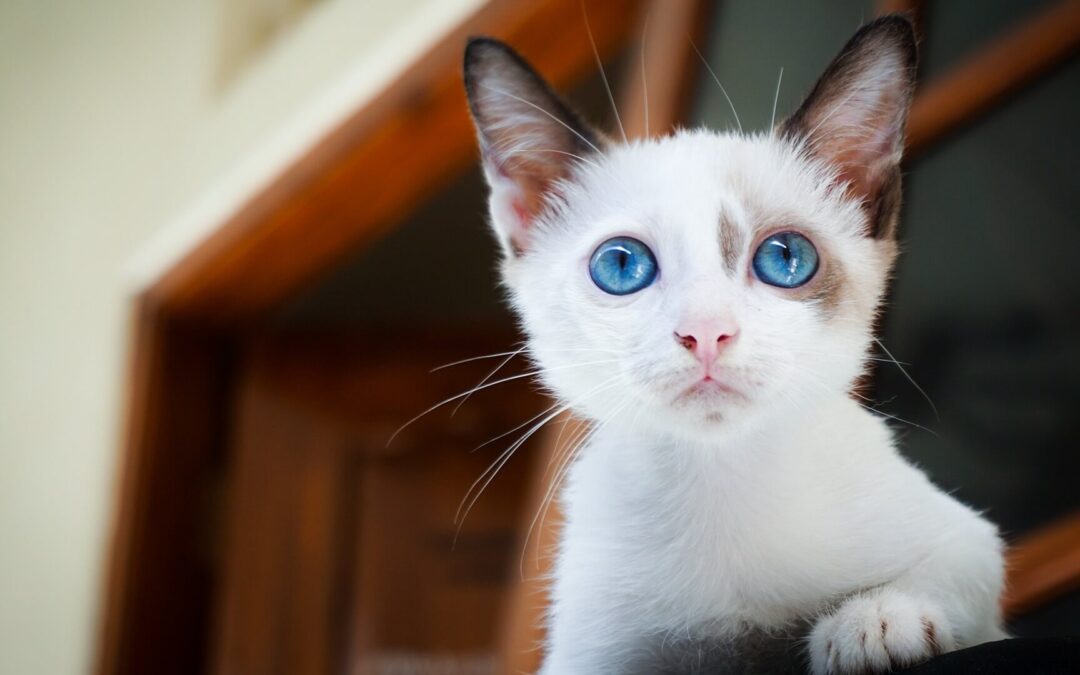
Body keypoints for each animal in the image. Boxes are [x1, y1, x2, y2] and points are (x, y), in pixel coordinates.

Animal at [462, 17, 1002, 673]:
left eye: (785, 258)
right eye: (621, 265)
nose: (705, 332)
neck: (719, 482)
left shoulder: (968, 540)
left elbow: (959, 574)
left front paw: (877, 622)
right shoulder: (591, 653)